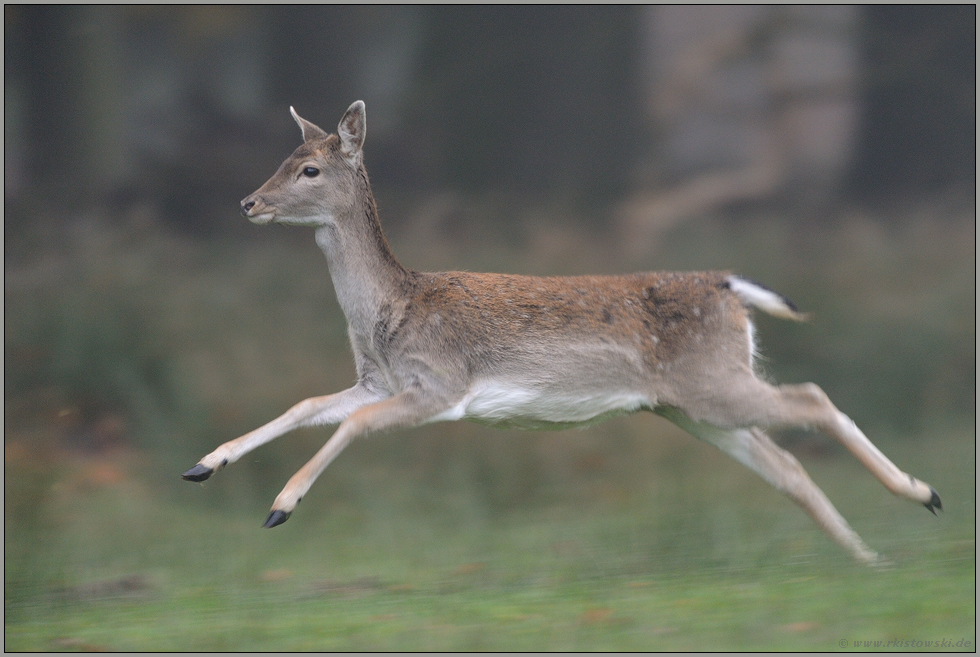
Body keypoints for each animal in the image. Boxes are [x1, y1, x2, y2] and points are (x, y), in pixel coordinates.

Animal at [180, 101, 936, 564]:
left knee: (812, 398)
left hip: (713, 385)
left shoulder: (441, 384)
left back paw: (922, 496)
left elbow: (356, 423)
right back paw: (869, 556)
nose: (248, 201)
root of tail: (730, 287)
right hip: (689, 406)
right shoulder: (378, 377)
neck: (390, 312)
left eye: (309, 168)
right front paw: (204, 464)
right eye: (283, 158)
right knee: (786, 465)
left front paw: (280, 506)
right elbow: (308, 404)